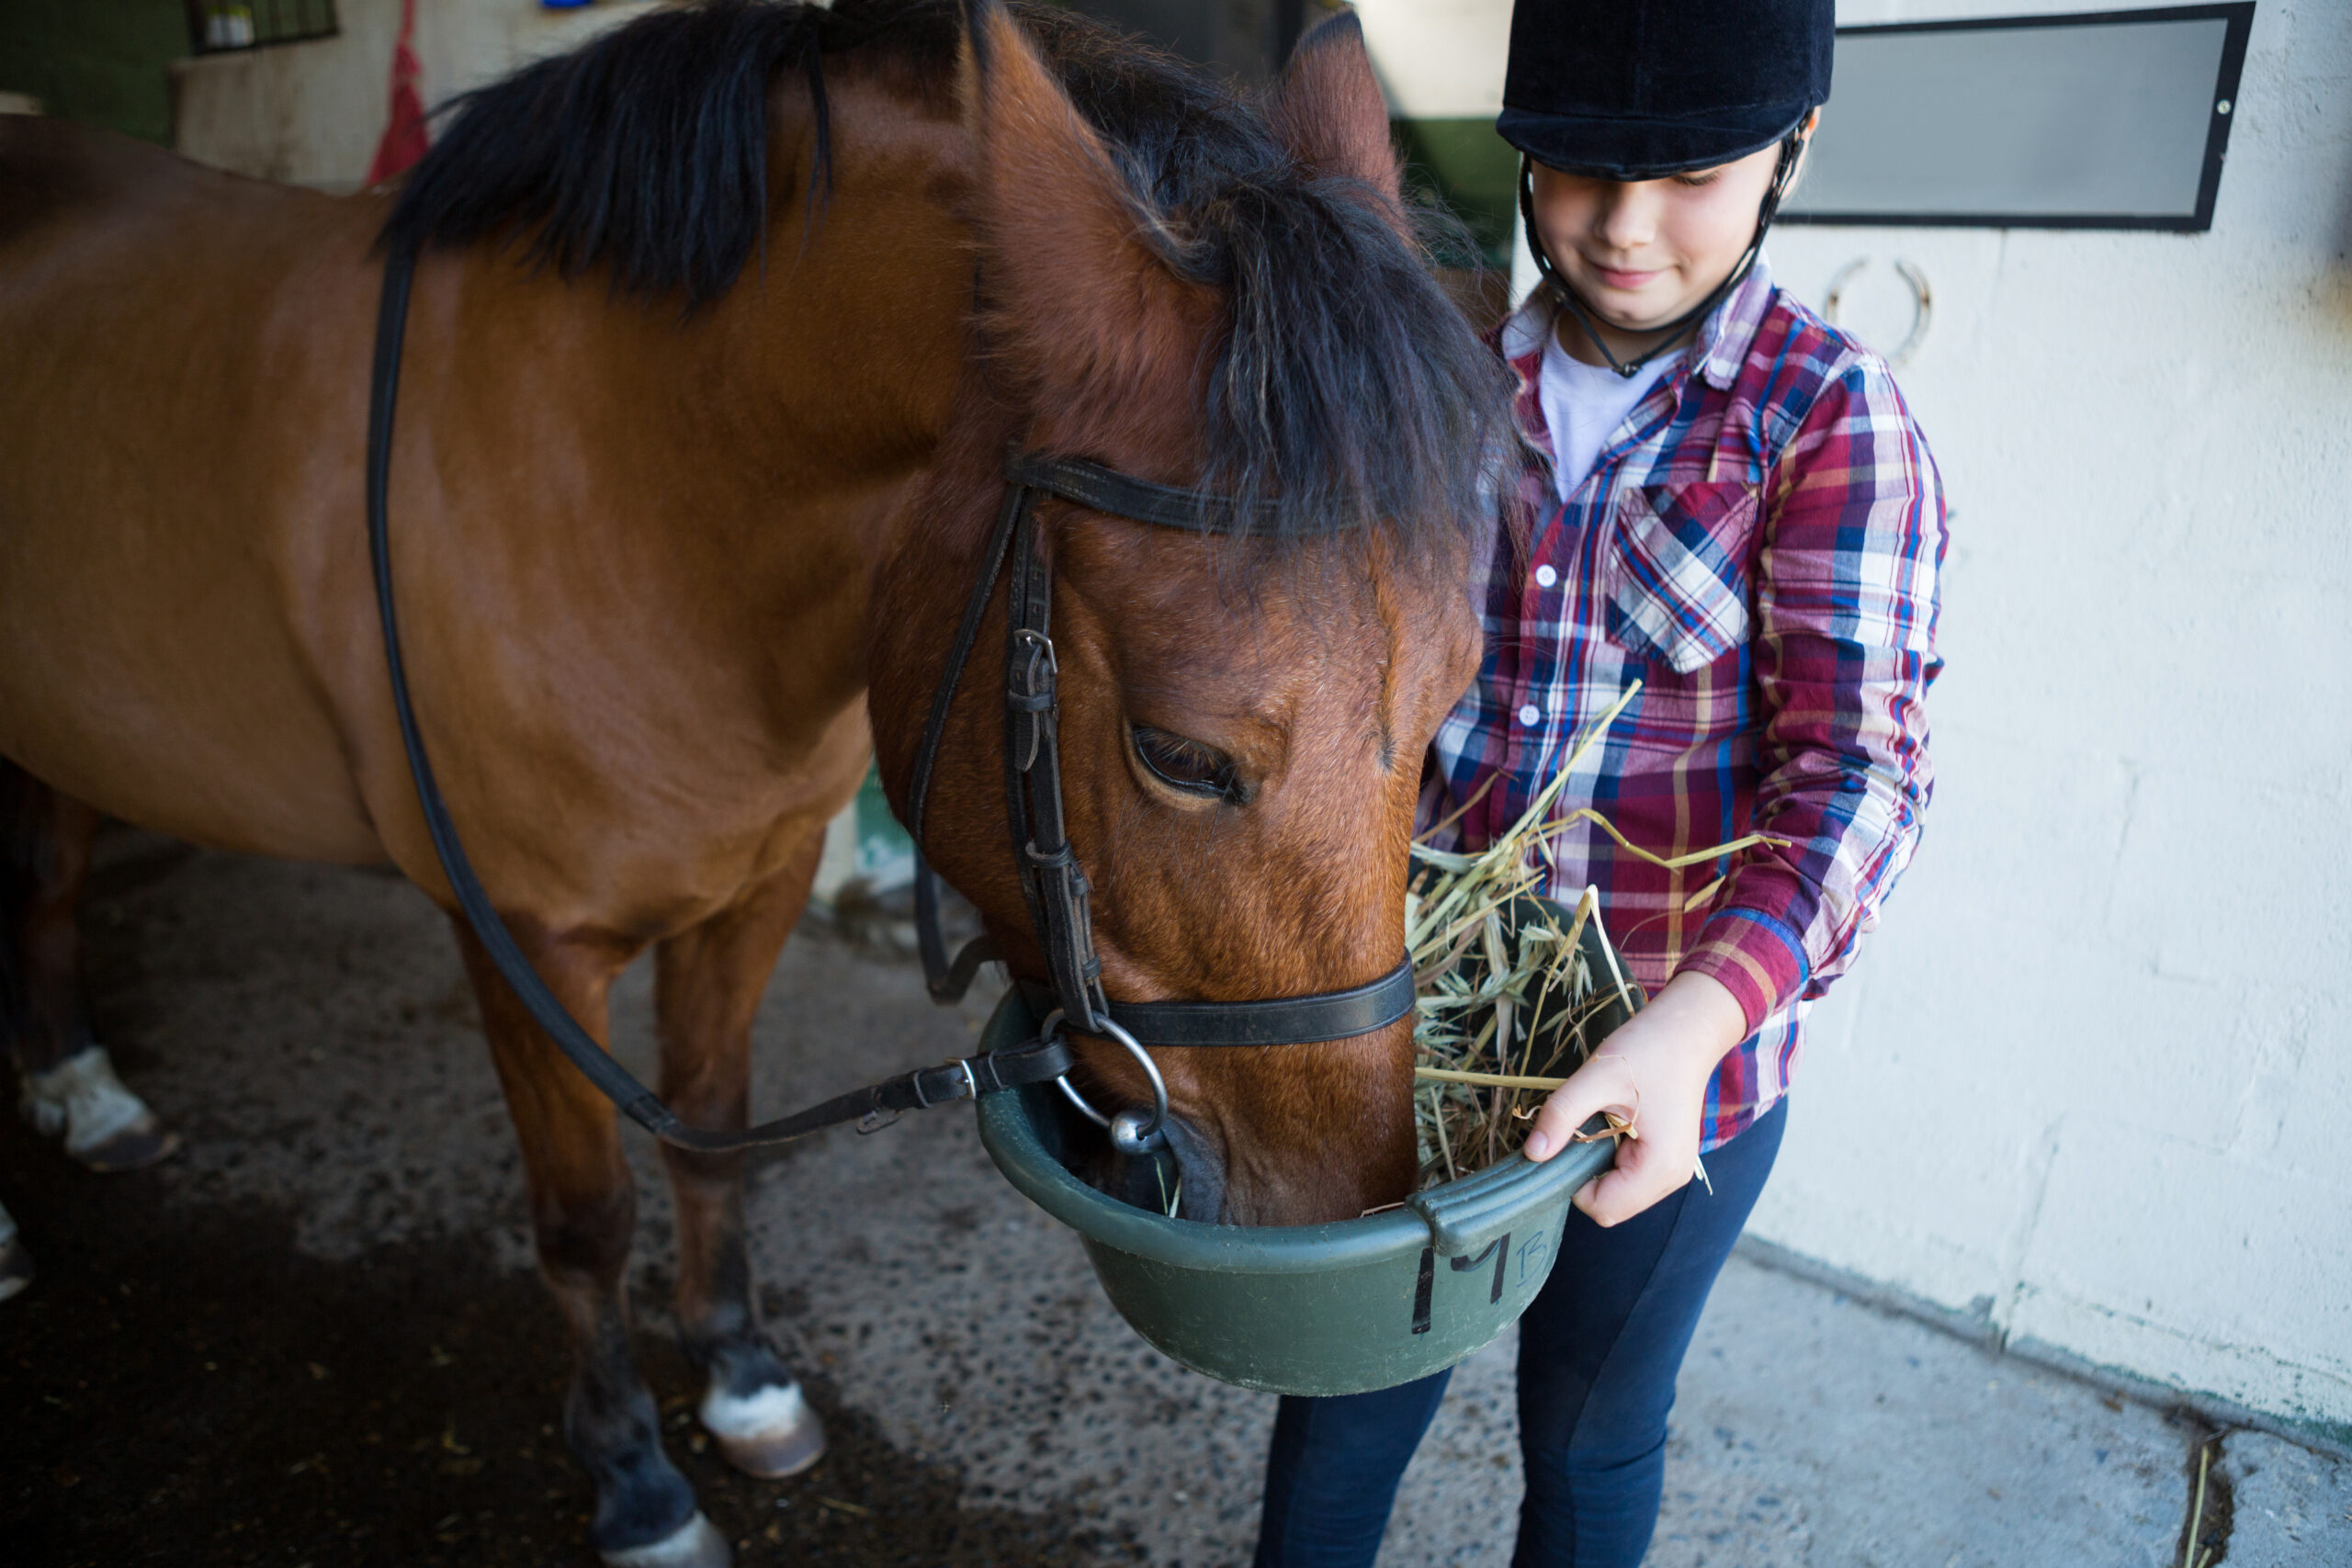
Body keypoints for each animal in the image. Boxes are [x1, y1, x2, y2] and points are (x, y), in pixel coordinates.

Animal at [0, 1, 1512, 1560]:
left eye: (1451, 698)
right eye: (1181, 755)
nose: (1340, 1209)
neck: (623, 479)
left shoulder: (758, 882)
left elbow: (713, 1139)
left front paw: (739, 1377)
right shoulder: (526, 941)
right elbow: (585, 1213)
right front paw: (635, 1474)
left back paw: (83, 1087)